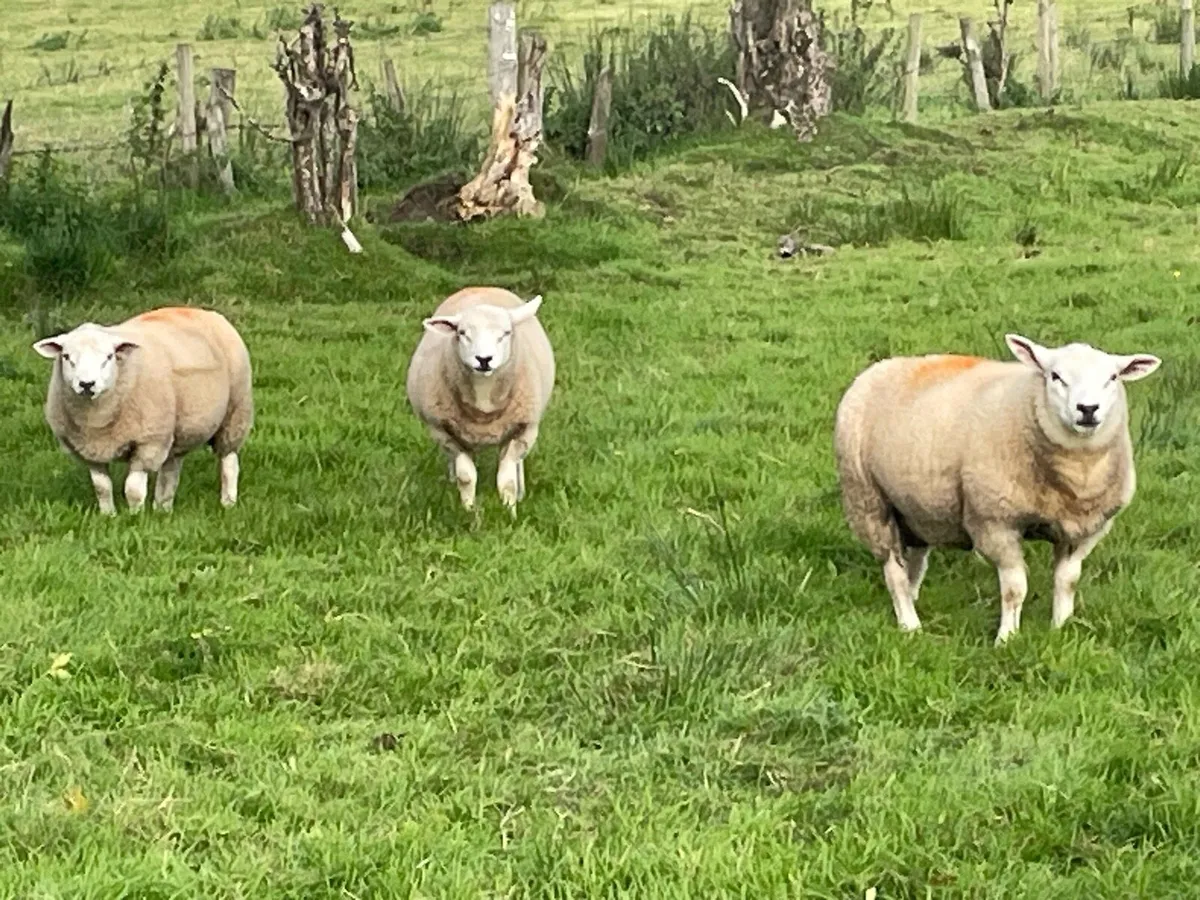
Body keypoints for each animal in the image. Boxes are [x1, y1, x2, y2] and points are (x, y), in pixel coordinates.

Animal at [32, 306, 254, 515]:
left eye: (109, 357)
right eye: (66, 356)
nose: (87, 384)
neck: (96, 419)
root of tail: (202, 311)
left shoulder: (148, 443)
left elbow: (133, 490)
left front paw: (135, 516)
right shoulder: (89, 451)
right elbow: (102, 488)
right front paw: (108, 515)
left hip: (235, 412)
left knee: (229, 462)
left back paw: (228, 502)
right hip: (176, 430)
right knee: (170, 469)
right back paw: (163, 508)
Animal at [406, 286, 555, 515]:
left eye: (505, 333)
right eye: (462, 333)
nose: (484, 359)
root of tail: (483, 288)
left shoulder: (523, 429)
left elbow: (507, 480)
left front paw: (510, 511)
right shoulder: (443, 431)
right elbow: (466, 477)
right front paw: (469, 510)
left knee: (518, 463)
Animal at [833, 333, 1161, 645]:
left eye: (1113, 378)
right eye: (1055, 376)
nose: (1087, 409)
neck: (1077, 473)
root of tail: (881, 366)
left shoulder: (1084, 528)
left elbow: (1067, 581)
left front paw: (1061, 629)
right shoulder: (995, 523)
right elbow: (1015, 589)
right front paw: (1006, 639)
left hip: (916, 508)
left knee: (913, 561)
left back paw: (912, 602)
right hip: (868, 500)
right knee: (893, 571)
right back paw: (910, 624)